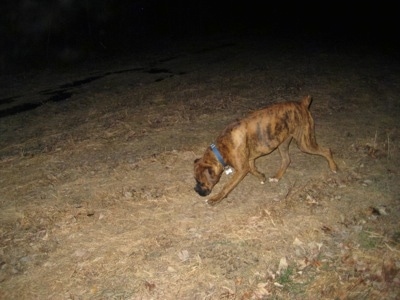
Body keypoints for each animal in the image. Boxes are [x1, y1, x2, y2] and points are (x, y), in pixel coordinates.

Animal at [194, 95, 338, 205]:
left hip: (304, 143)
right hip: (283, 142)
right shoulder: (249, 162)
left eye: (200, 182)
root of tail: (302, 104)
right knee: (287, 160)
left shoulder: (241, 169)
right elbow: (253, 170)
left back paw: (334, 168)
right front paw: (261, 177)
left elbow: (227, 186)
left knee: (326, 150)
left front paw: (216, 199)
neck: (221, 148)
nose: (195, 190)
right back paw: (276, 177)